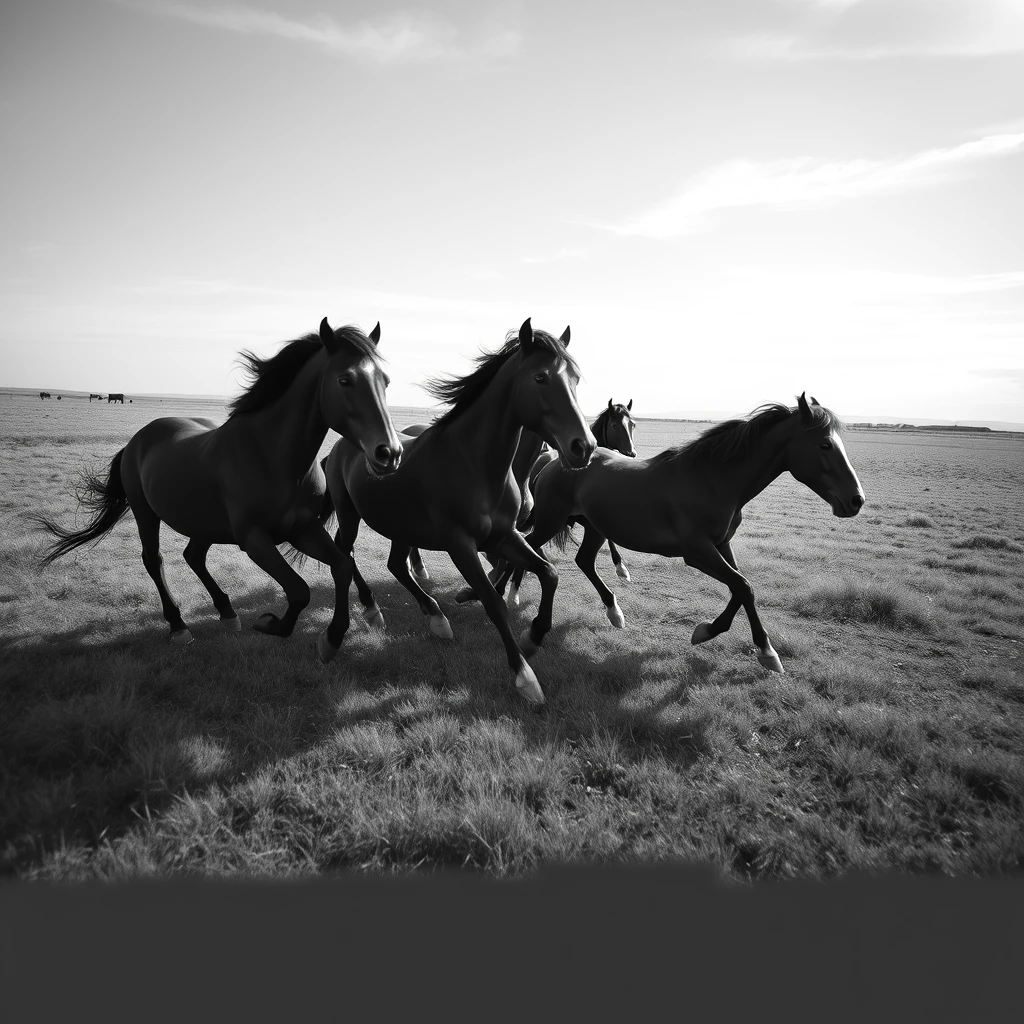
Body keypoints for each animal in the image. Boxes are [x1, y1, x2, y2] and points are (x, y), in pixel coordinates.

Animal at [33, 319, 399, 647]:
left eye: (385, 381)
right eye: (345, 379)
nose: (390, 453)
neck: (272, 456)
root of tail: (139, 438)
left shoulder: (304, 530)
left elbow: (342, 566)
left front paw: (334, 636)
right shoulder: (254, 539)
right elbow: (299, 590)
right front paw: (271, 624)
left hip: (204, 523)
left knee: (193, 555)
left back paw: (227, 611)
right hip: (144, 512)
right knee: (154, 560)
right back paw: (179, 626)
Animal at [315, 317, 598, 704]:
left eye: (575, 378)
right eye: (540, 377)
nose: (584, 446)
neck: (474, 464)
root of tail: (344, 443)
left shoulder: (505, 537)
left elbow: (548, 573)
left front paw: (534, 637)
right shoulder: (460, 545)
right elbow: (493, 601)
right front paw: (524, 676)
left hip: (402, 526)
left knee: (395, 565)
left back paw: (435, 617)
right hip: (350, 514)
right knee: (346, 554)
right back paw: (366, 614)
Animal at [516, 391, 860, 671]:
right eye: (825, 444)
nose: (857, 500)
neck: (711, 479)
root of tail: (553, 461)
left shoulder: (721, 545)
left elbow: (741, 588)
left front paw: (714, 633)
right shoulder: (697, 552)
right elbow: (743, 586)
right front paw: (763, 650)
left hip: (595, 528)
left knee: (583, 560)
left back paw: (613, 611)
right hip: (550, 521)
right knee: (526, 547)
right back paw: (516, 601)